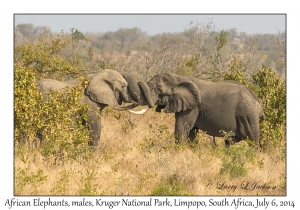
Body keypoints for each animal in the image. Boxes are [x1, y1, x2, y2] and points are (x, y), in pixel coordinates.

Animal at [130, 73, 264, 147]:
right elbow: (191, 132)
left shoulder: (193, 107)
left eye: (158, 89)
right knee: (231, 140)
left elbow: (182, 126)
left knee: (252, 140)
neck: (178, 77)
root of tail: (258, 103)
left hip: (248, 116)